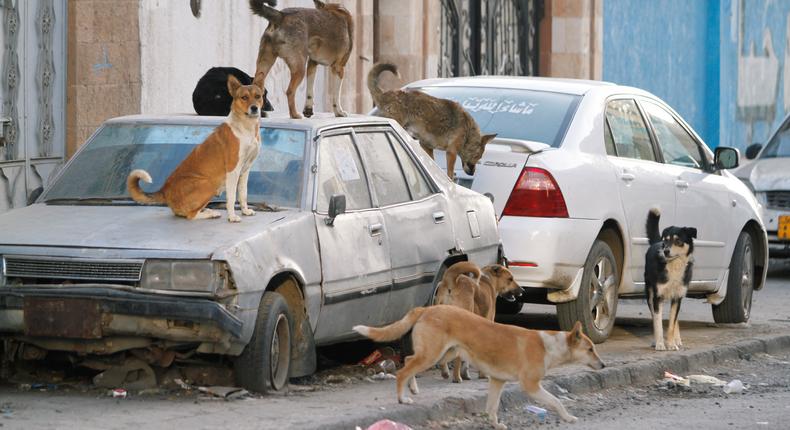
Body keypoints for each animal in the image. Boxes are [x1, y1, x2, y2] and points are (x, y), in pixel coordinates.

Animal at [127, 74, 266, 222]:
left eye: (258, 96)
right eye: (244, 97)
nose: (254, 108)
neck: (245, 128)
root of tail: (165, 190)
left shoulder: (245, 170)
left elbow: (243, 194)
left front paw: (245, 211)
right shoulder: (233, 170)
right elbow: (232, 197)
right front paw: (232, 217)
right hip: (208, 185)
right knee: (190, 215)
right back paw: (211, 213)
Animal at [356, 308, 608, 428]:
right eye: (590, 349)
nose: (604, 364)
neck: (551, 346)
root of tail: (427, 308)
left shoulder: (497, 381)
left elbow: (492, 407)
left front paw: (495, 424)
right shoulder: (531, 386)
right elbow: (556, 401)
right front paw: (568, 417)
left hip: (445, 353)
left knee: (408, 361)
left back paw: (414, 389)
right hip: (433, 353)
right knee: (403, 370)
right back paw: (402, 397)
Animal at [368, 62, 498, 180]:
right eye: (478, 156)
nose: (472, 173)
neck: (467, 132)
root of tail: (386, 94)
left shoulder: (426, 146)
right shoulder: (451, 152)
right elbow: (450, 174)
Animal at [648, 209, 700, 352]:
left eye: (678, 241)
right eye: (666, 240)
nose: (665, 251)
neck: (674, 265)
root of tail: (655, 243)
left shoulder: (678, 297)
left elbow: (672, 323)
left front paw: (671, 344)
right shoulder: (657, 297)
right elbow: (658, 323)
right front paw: (660, 344)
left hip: (678, 296)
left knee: (675, 319)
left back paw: (677, 339)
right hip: (649, 294)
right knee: (654, 316)